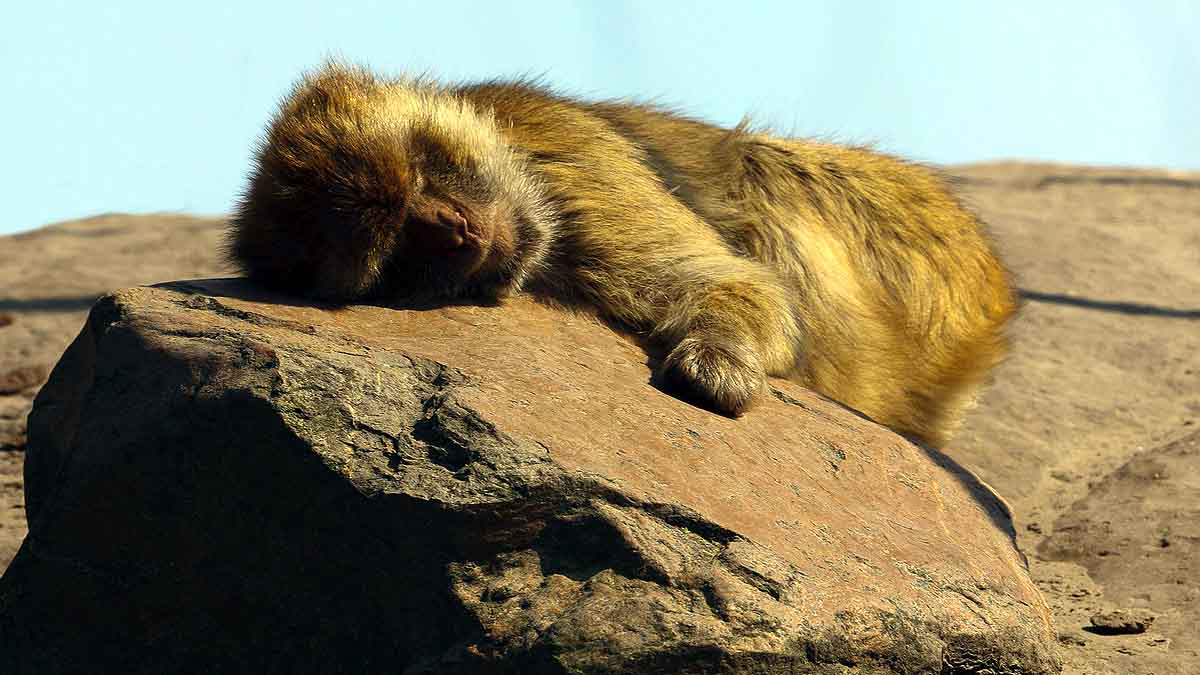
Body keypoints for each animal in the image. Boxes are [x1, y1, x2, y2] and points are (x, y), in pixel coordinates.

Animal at [228, 62, 1017, 447]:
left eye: (422, 174)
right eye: (396, 249)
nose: (457, 230)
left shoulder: (571, 156)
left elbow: (729, 280)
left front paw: (718, 357)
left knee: (766, 170)